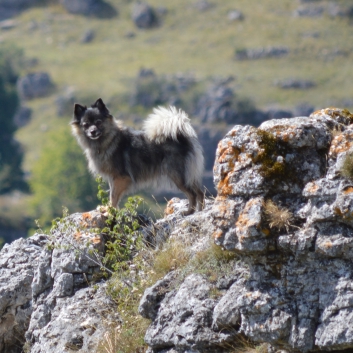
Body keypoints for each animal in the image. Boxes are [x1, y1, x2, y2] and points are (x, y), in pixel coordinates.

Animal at [71, 98, 204, 214]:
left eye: (98, 122)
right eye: (86, 125)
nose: (92, 131)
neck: (108, 140)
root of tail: (181, 137)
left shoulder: (120, 178)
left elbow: (113, 196)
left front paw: (110, 210)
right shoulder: (113, 179)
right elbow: (112, 194)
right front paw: (108, 208)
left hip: (177, 175)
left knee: (192, 194)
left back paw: (189, 212)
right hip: (188, 175)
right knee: (200, 192)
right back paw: (200, 210)